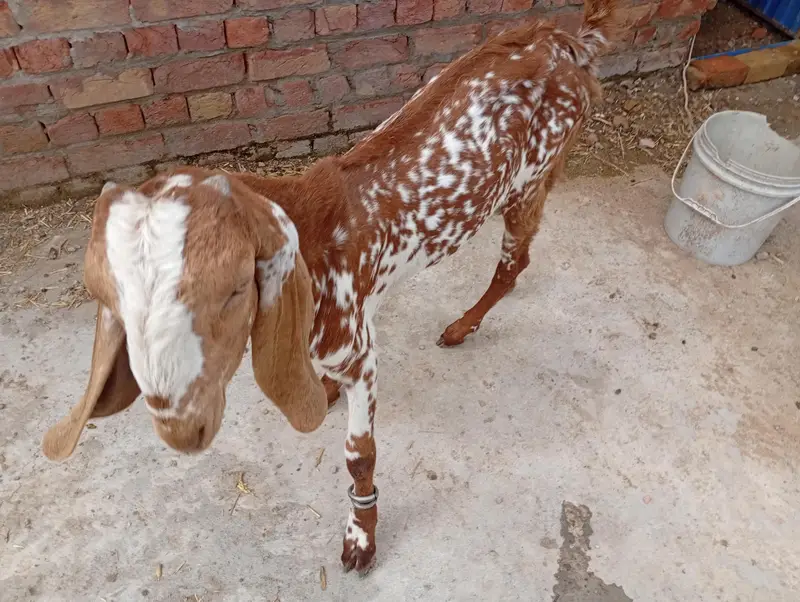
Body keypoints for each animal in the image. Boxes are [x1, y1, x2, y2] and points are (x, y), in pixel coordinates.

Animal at [43, 0, 620, 574]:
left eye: (232, 290)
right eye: (116, 300)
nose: (181, 427)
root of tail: (569, 41)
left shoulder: (361, 355)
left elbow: (359, 456)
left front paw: (361, 536)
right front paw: (319, 391)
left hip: (529, 181)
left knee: (515, 262)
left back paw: (460, 327)